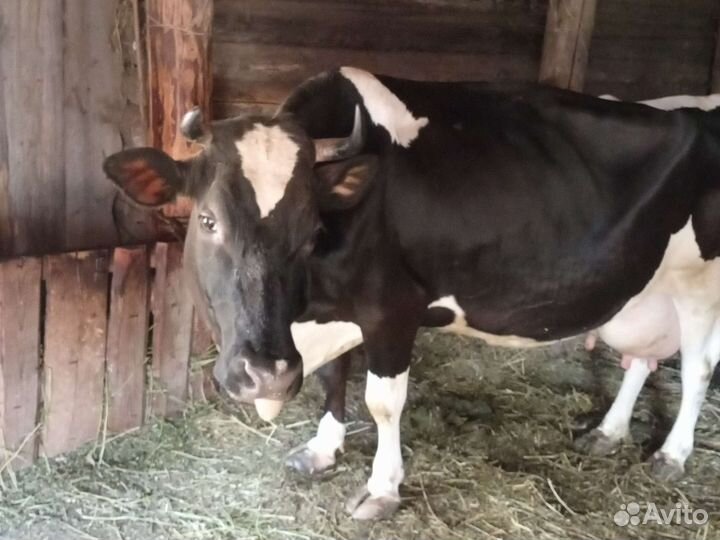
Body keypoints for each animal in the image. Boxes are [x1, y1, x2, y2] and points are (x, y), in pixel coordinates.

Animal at [103, 68, 720, 520]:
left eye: (311, 230)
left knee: (696, 368)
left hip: (701, 286)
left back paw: (672, 454)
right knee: (641, 360)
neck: (313, 308)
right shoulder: (339, 315)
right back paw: (608, 433)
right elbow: (333, 379)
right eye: (208, 221)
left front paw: (381, 488)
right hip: (647, 292)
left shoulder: (392, 311)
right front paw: (322, 450)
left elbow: (383, 401)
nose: (266, 373)